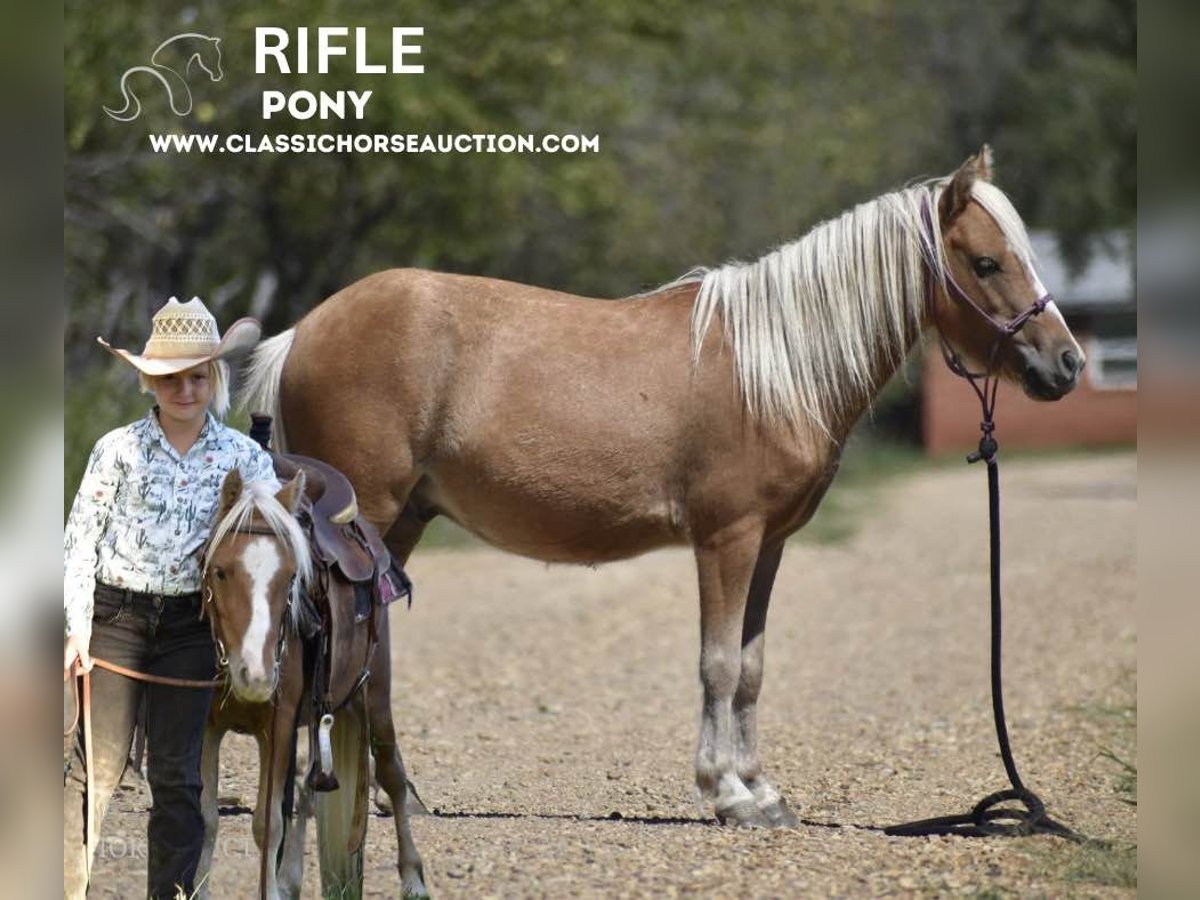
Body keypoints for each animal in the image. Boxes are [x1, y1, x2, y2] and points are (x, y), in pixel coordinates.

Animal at [194, 468, 424, 897]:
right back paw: (290, 878)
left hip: (375, 696)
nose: (257, 675)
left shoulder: (278, 725)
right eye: (219, 570)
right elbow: (205, 816)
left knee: (391, 773)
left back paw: (414, 877)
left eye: (291, 577)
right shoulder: (205, 727)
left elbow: (268, 823)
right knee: (306, 785)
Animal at [241, 150, 1089, 830]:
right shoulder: (727, 539)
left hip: (400, 523)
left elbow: (750, 667)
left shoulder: (769, 546)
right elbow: (717, 664)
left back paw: (398, 796)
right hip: (368, 516)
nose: (1068, 365)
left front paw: (762, 792)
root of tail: (305, 331)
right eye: (987, 263)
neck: (775, 366)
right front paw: (729, 794)